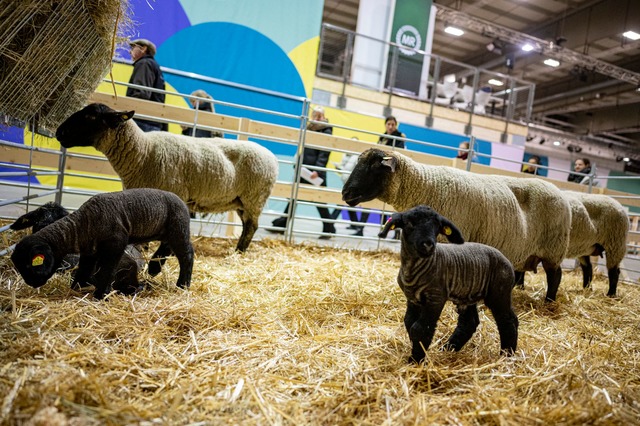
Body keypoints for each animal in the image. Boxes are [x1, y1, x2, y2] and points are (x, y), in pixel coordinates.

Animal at [56, 102, 282, 253]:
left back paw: (239, 251)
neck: (143, 152)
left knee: (251, 227)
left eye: (91, 117)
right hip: (242, 201)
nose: (59, 132)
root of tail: (272, 157)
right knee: (247, 226)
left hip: (254, 197)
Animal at [342, 148, 572, 302]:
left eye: (374, 166)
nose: (346, 193)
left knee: (555, 276)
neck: (424, 184)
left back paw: (549, 302)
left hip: (553, 248)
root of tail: (560, 193)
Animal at [380, 206, 520, 362]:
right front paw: (416, 352)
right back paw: (449, 349)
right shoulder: (412, 298)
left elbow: (421, 327)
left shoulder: (436, 297)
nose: (428, 244)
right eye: (410, 223)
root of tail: (507, 260)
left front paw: (416, 360)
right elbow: (409, 322)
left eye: (437, 227)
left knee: (507, 320)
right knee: (469, 323)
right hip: (468, 295)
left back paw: (507, 355)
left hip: (499, 292)